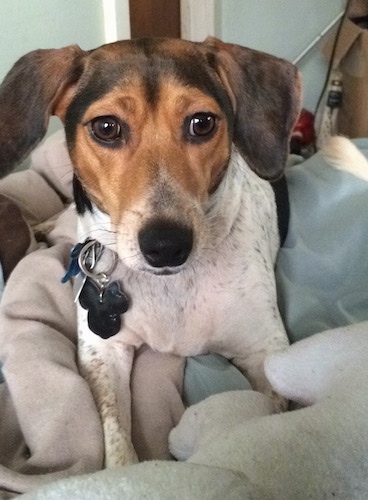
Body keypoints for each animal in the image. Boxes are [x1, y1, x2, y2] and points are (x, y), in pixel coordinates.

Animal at [0, 37, 300, 466]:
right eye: (106, 127)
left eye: (202, 123)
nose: (167, 245)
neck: (170, 286)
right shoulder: (102, 353)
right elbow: (117, 445)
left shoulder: (267, 351)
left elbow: (266, 418)